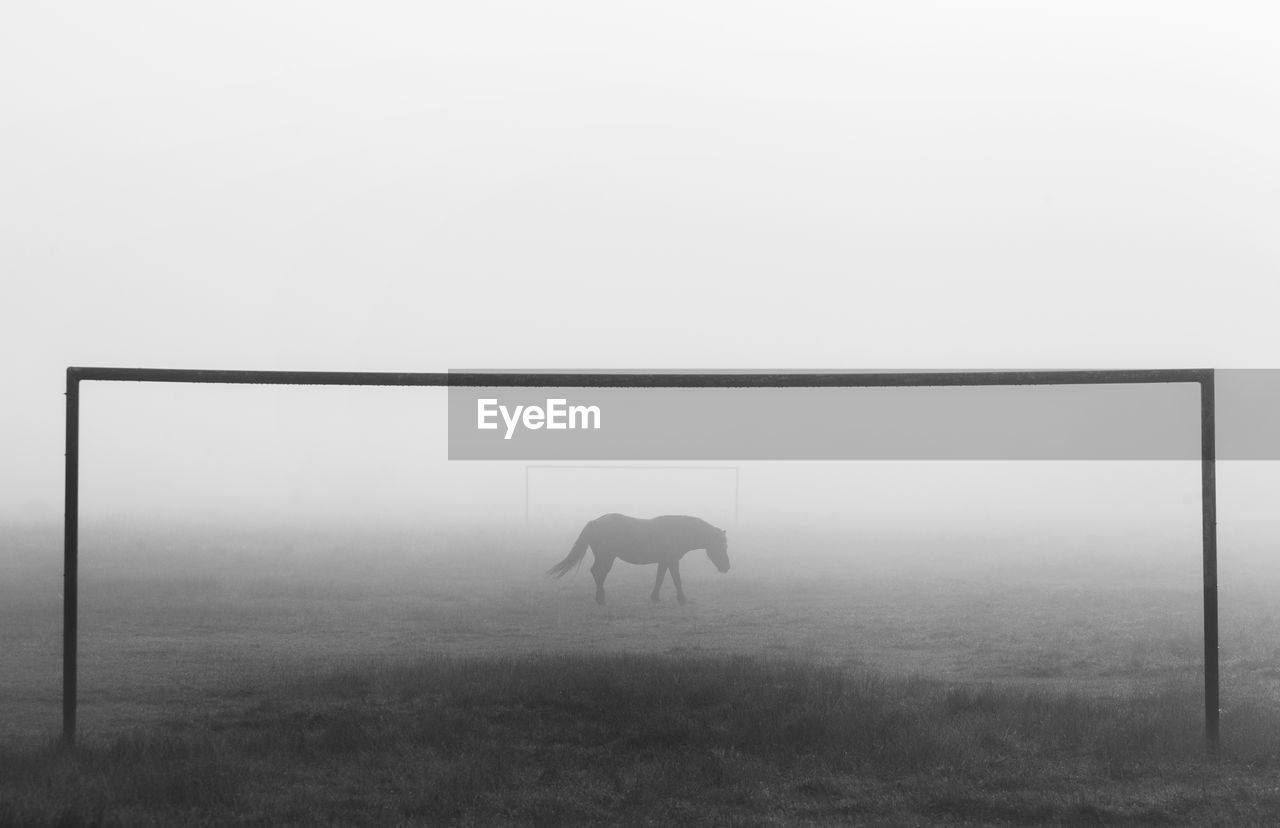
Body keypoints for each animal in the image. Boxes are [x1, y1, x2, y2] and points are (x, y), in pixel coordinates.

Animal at [547, 514, 732, 606]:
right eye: (721, 546)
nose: (726, 567)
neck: (678, 531)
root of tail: (595, 522)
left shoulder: (664, 561)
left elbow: (660, 579)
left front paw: (655, 597)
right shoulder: (672, 561)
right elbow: (677, 580)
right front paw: (683, 599)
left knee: (597, 573)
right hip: (607, 556)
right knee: (598, 573)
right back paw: (601, 599)